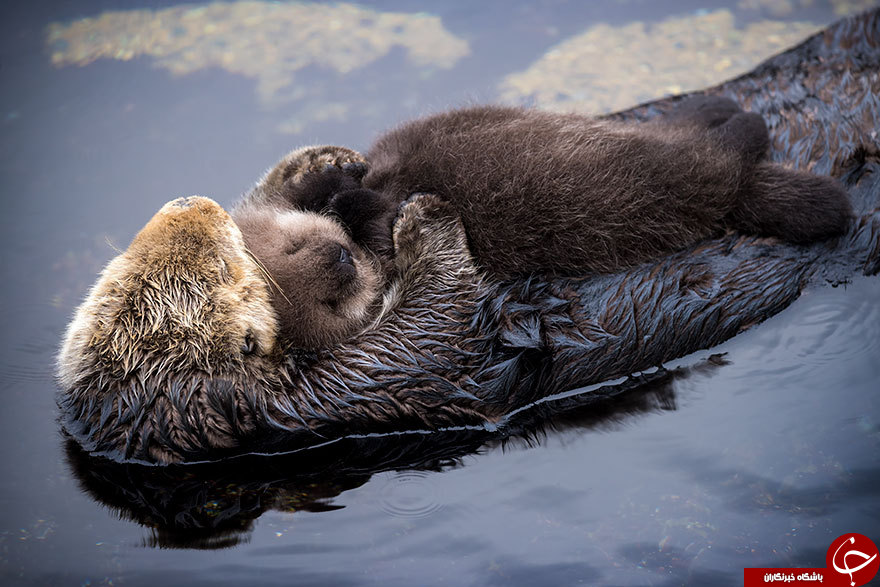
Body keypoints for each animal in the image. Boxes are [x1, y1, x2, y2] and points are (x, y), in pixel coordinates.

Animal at [235, 99, 852, 352]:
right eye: (332, 301)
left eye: (297, 243)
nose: (338, 257)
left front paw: (331, 172)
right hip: (646, 186)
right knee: (714, 164)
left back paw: (720, 108)